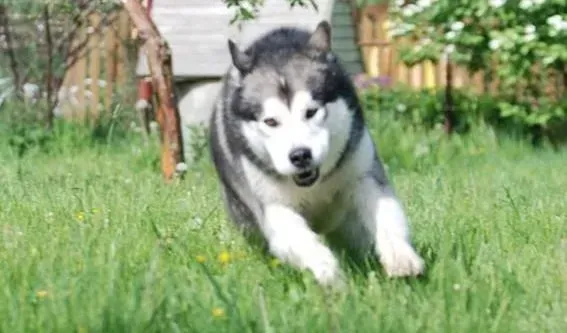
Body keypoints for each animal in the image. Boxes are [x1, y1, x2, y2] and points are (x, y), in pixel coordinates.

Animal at [211, 20, 424, 286]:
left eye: (311, 112)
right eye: (270, 122)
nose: (300, 155)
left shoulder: (364, 174)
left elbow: (386, 216)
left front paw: (401, 257)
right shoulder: (273, 206)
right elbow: (301, 241)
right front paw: (328, 272)